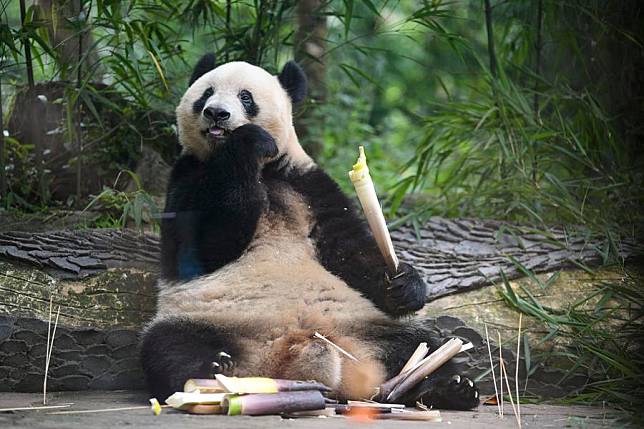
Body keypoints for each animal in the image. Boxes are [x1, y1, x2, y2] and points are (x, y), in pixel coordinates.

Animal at [141, 53, 478, 408]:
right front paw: (249, 141)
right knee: (169, 348)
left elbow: (350, 251)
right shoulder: (187, 175)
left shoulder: (307, 184)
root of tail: (285, 357)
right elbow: (205, 246)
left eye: (246, 97)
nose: (216, 112)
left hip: (364, 327)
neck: (263, 170)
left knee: (421, 344)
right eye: (207, 93)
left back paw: (448, 387)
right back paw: (213, 370)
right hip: (202, 317)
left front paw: (403, 285)